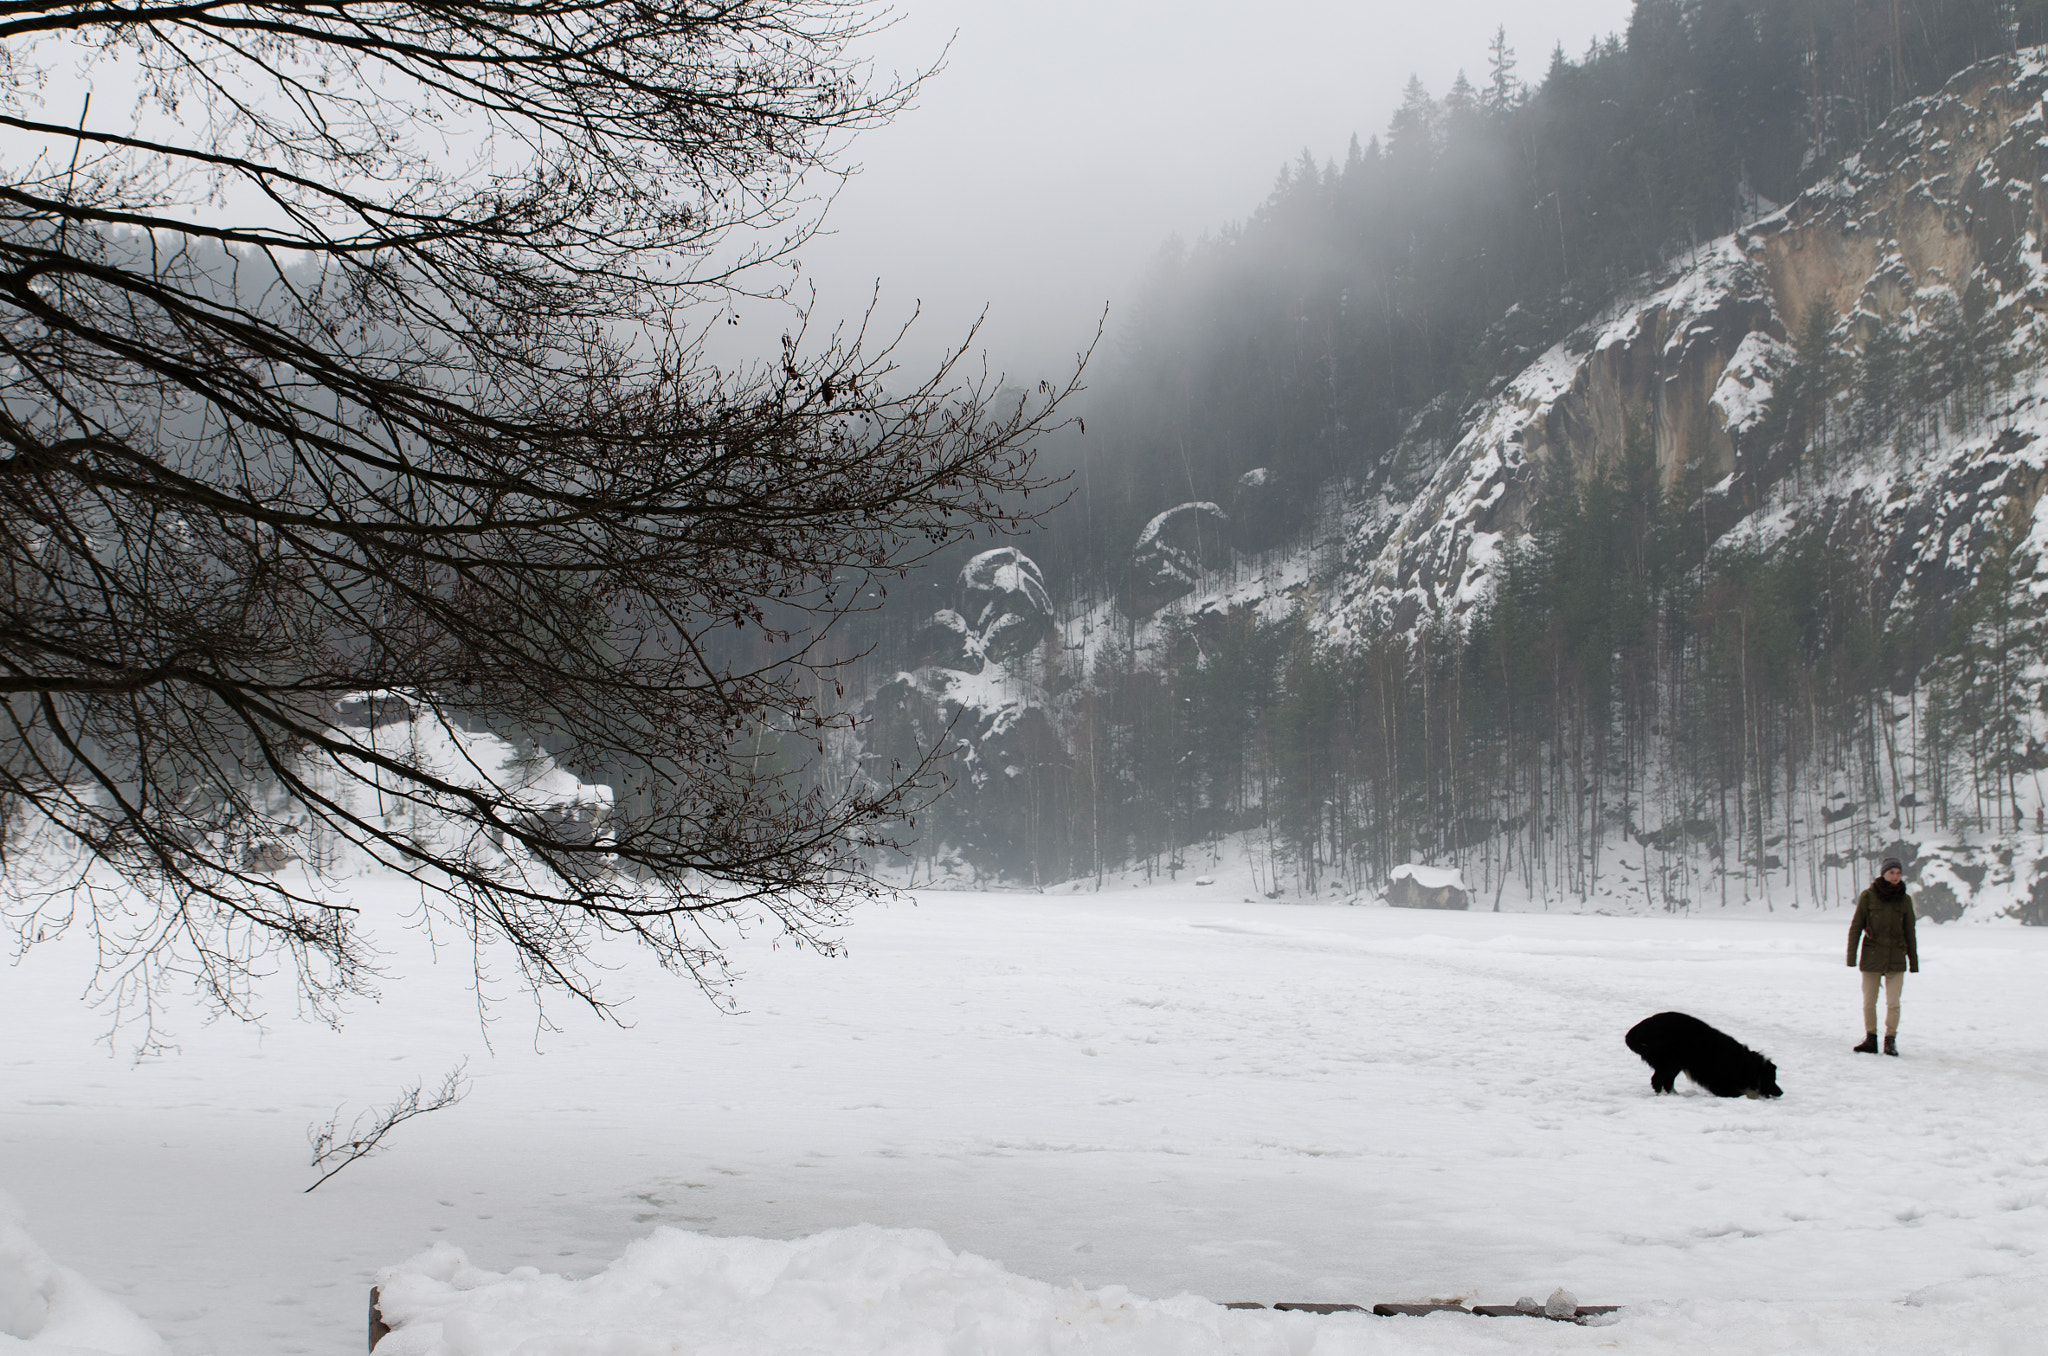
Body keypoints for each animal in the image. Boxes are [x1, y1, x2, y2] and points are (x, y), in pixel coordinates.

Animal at [1622, 1015, 1785, 1097]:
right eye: (1772, 1079)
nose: (1781, 1092)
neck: (1745, 1065)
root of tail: (1634, 1032)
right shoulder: (1718, 1082)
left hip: (1675, 1063)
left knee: (1666, 1081)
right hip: (1669, 1061)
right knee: (1657, 1080)